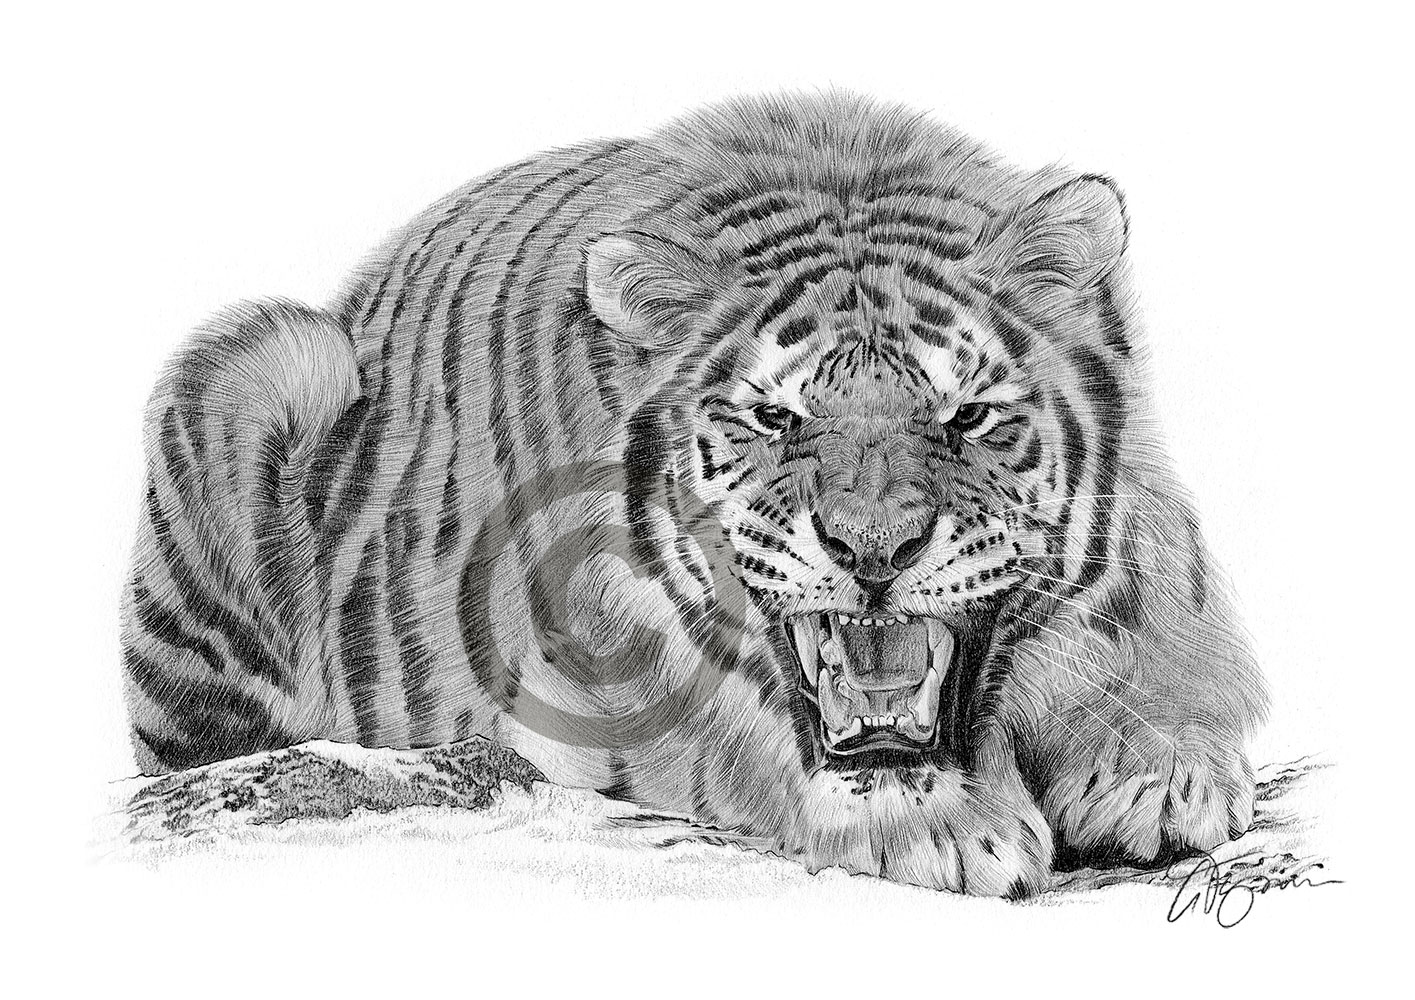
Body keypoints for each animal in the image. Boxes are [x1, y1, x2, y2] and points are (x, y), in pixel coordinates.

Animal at [122, 91, 1268, 897]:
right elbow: (763, 739)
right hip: (271, 361)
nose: (873, 552)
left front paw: (1158, 771)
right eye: (776, 419)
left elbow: (1168, 643)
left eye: (966, 416)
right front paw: (936, 825)